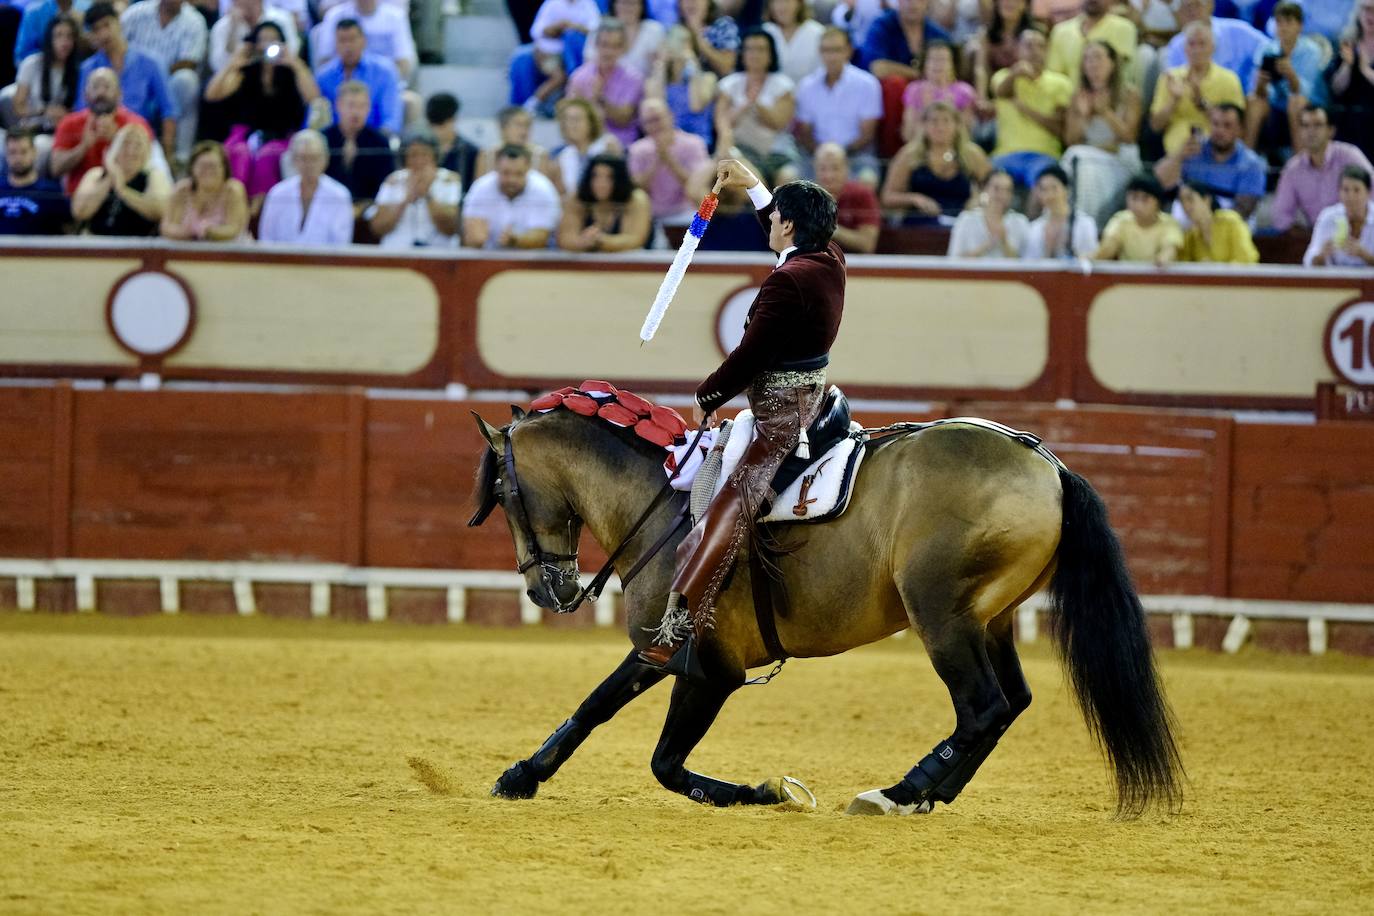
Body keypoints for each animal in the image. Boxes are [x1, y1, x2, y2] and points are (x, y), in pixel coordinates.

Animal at [469, 401, 1181, 818]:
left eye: (502, 492)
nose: (545, 591)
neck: (666, 502)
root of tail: (1049, 466)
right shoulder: (663, 651)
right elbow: (596, 709)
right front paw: (523, 775)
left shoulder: (706, 668)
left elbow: (657, 756)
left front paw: (757, 792)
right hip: (992, 621)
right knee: (1010, 703)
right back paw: (932, 794)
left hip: (942, 617)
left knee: (983, 706)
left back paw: (900, 791)